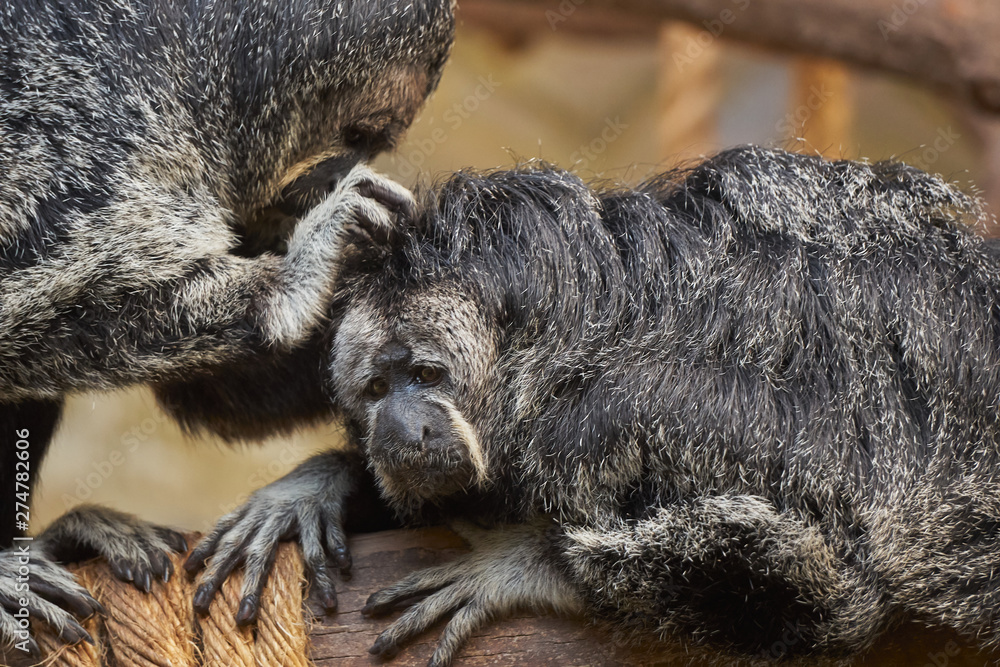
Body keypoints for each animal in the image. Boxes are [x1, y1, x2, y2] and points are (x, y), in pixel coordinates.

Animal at [0, 0, 454, 656]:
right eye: (361, 133)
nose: (350, 160)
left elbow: (213, 391)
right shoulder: (80, 113)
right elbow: (27, 302)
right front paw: (292, 281)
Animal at [180, 145, 1000, 666]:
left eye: (425, 374)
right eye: (376, 390)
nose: (397, 425)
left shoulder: (608, 420)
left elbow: (825, 595)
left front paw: (519, 564)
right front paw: (317, 486)